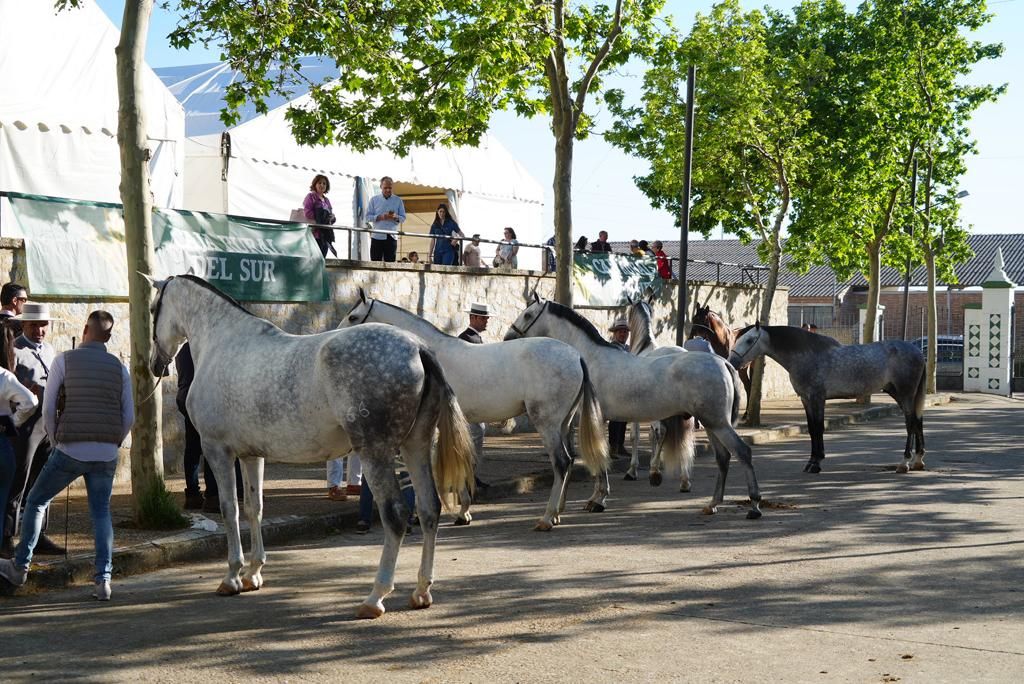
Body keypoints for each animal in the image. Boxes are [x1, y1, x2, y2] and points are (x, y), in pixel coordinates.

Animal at [148, 274, 475, 618]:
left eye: (154, 308)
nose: (157, 365)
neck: (221, 342)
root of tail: (418, 348)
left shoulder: (217, 451)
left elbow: (229, 509)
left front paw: (232, 577)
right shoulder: (251, 456)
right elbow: (254, 508)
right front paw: (254, 573)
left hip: (376, 452)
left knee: (396, 515)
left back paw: (375, 597)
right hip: (416, 446)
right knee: (429, 509)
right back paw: (422, 591)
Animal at [339, 290, 606, 532]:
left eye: (353, 317)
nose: (337, 335)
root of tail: (576, 356)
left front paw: (449, 513)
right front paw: (464, 512)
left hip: (547, 424)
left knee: (561, 462)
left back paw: (547, 518)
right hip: (563, 423)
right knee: (569, 460)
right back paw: (559, 513)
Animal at [507, 296, 765, 518]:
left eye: (528, 314)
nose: (509, 336)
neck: (591, 359)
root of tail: (723, 363)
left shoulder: (597, 419)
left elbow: (602, 456)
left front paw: (597, 500)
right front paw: (598, 498)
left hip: (718, 424)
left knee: (742, 452)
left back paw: (754, 506)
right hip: (712, 425)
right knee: (722, 457)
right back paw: (712, 504)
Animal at [729, 323, 929, 473]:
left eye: (749, 340)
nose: (732, 362)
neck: (807, 355)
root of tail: (918, 352)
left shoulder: (817, 398)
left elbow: (818, 428)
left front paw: (816, 464)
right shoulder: (806, 399)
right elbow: (812, 429)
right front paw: (811, 462)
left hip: (905, 394)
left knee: (910, 423)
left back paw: (904, 463)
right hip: (899, 394)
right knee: (917, 421)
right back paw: (918, 460)